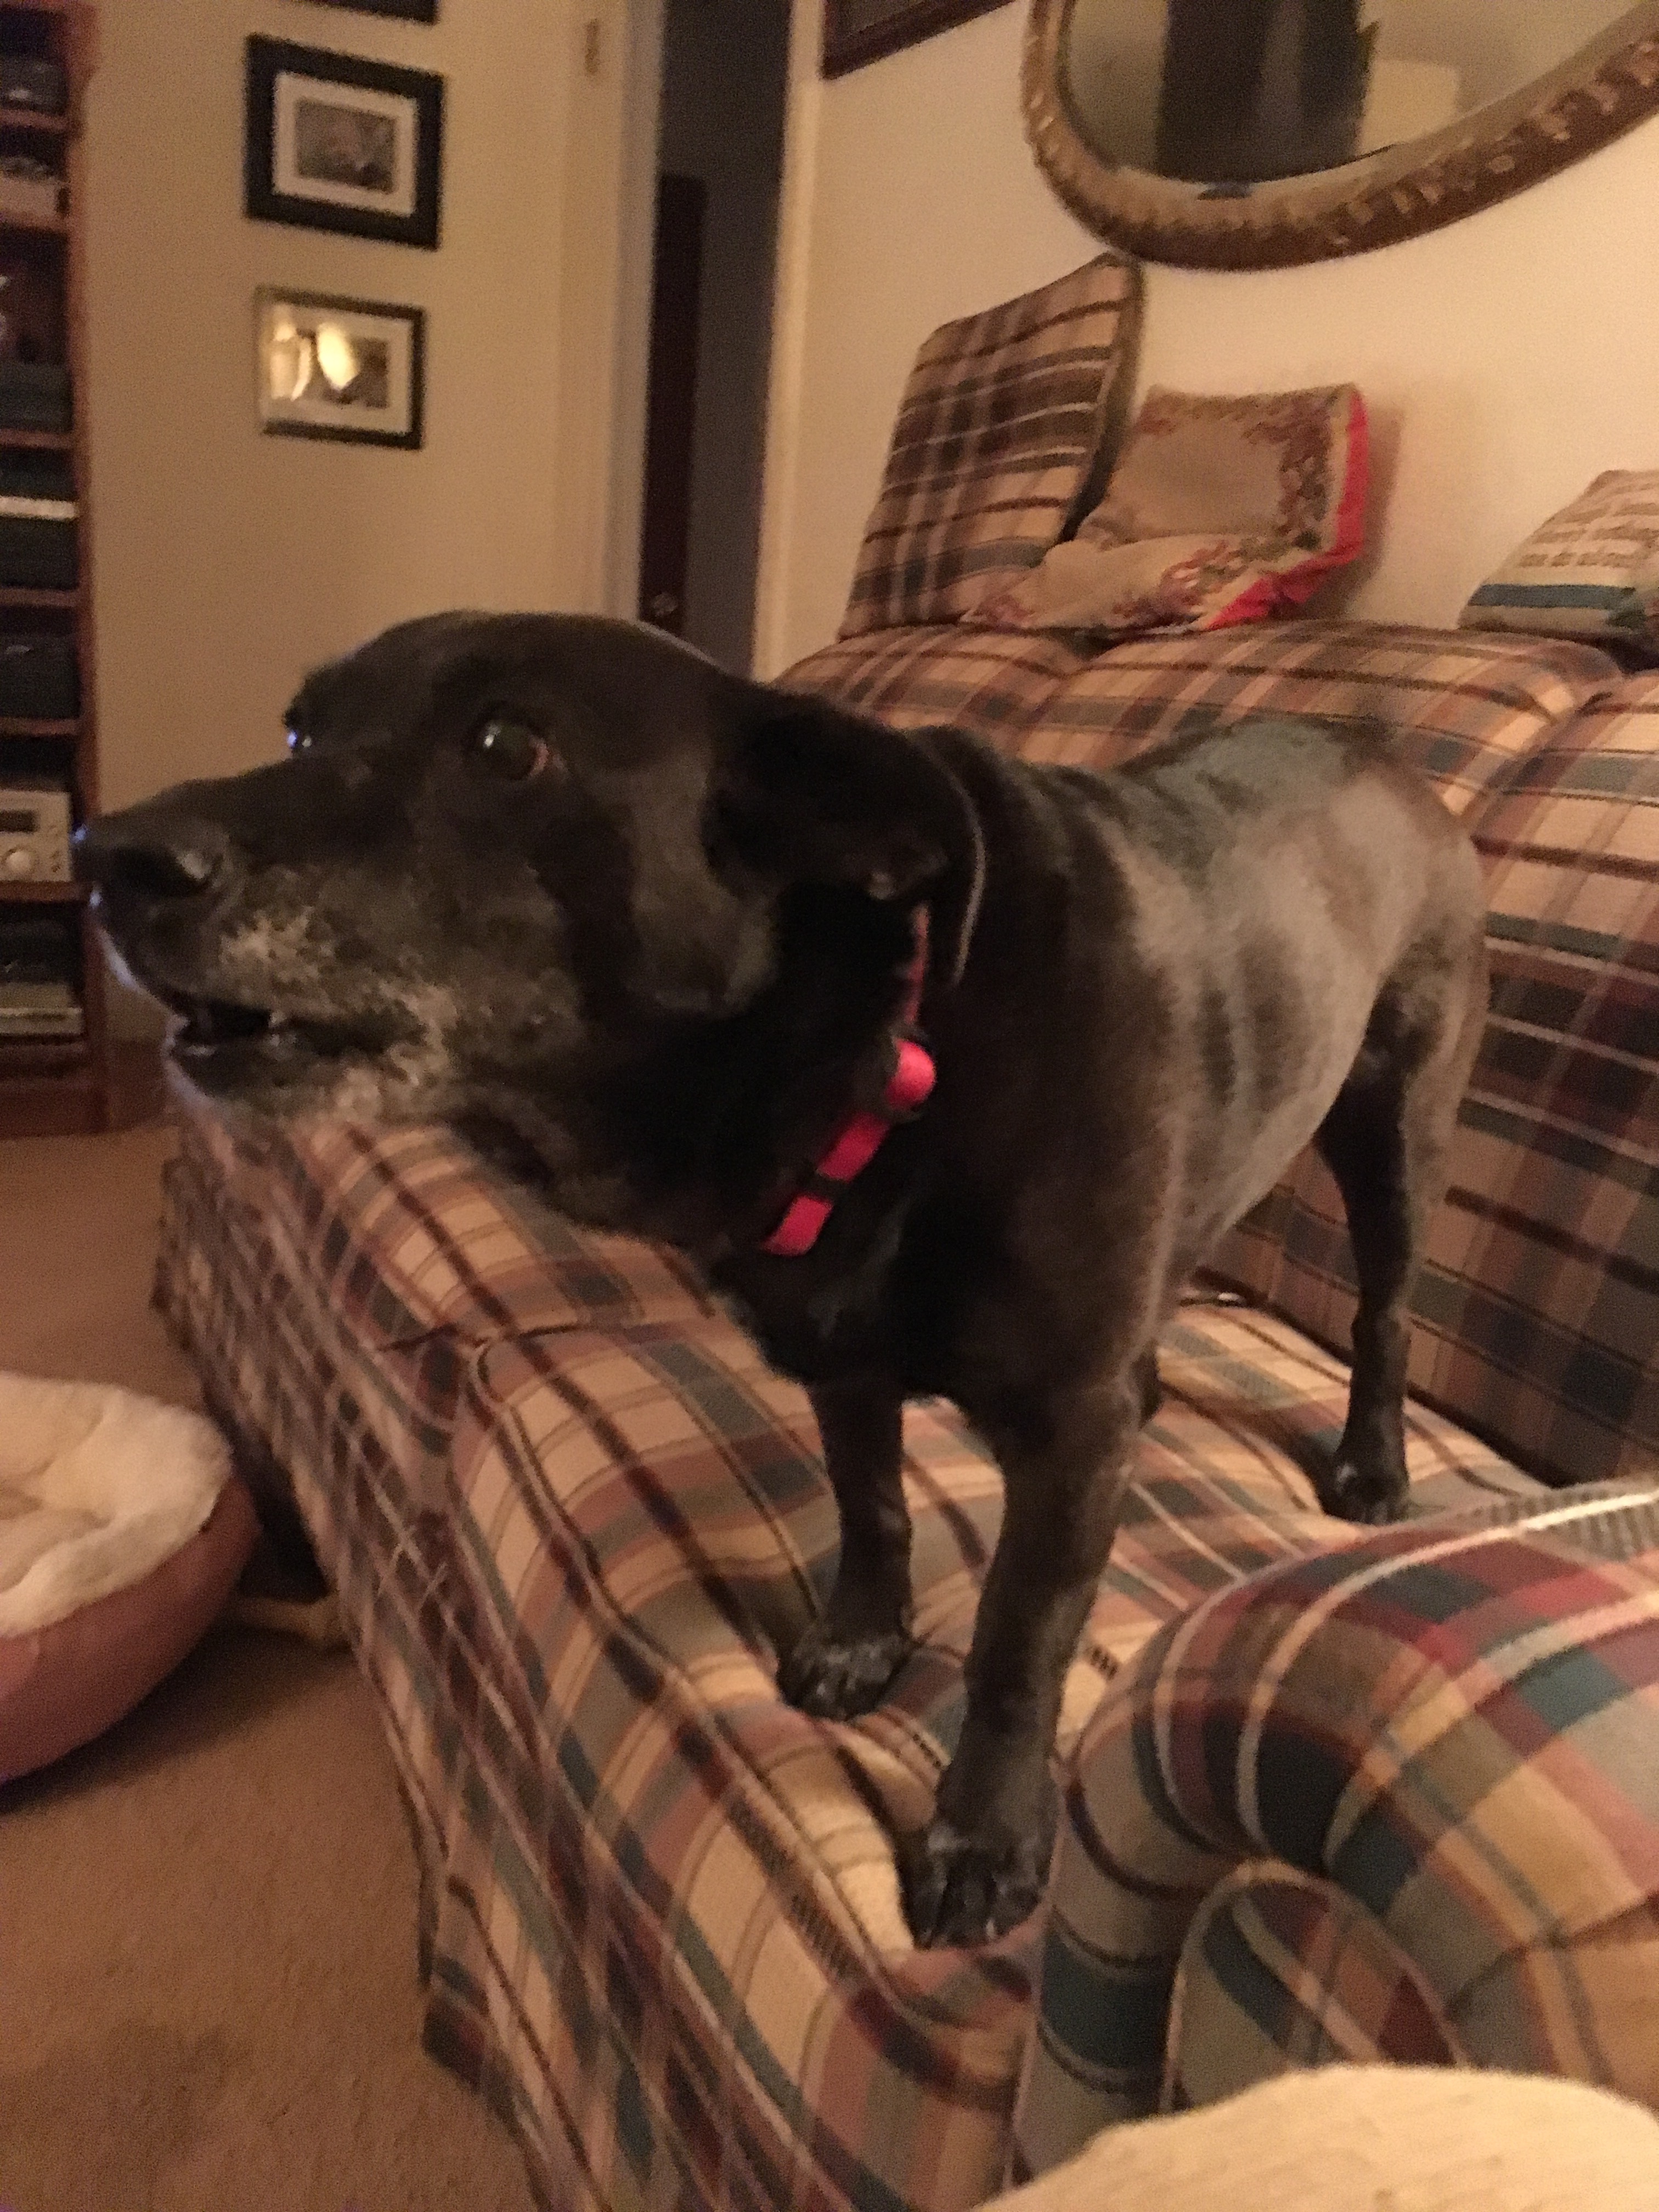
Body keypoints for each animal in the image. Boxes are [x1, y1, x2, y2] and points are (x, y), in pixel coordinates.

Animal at [77, 612, 1488, 1948]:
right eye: (302, 731)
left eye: (508, 746)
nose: (105, 858)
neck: (891, 1044)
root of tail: (1385, 755)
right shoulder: (843, 1360)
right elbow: (874, 1509)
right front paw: (865, 1640)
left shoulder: (1070, 1433)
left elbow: (1017, 1646)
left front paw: (983, 1835)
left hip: (1395, 1135)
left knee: (1388, 1314)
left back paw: (1373, 1465)